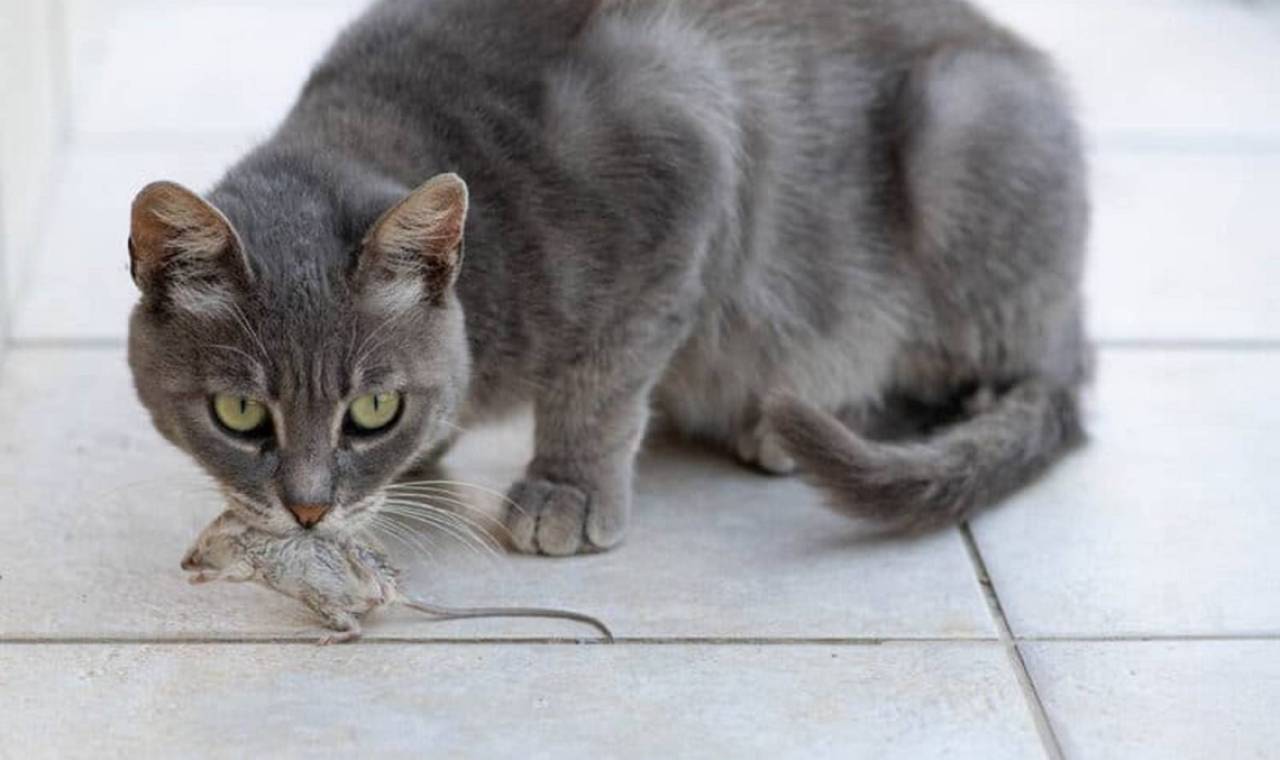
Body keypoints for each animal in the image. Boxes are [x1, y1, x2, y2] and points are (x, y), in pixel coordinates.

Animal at [127, 0, 1090, 555]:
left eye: (372, 408)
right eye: (239, 413)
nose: (308, 510)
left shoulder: (684, 158)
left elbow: (601, 381)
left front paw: (567, 490)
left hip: (963, 133)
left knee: (976, 380)